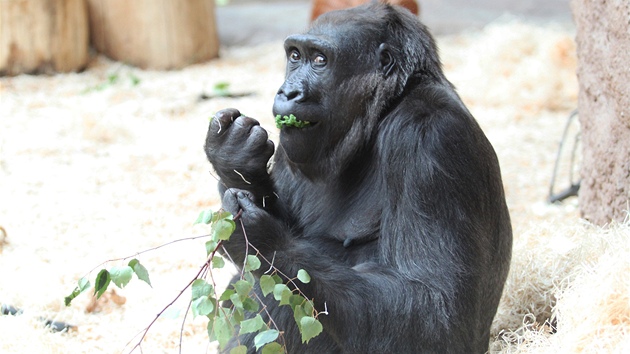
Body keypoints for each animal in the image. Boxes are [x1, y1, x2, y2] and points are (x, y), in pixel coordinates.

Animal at [206, 3, 512, 354]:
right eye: (295, 56)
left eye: (320, 60)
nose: (288, 91)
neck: (382, 112)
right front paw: (235, 157)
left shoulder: (430, 140)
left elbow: (438, 309)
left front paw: (260, 239)